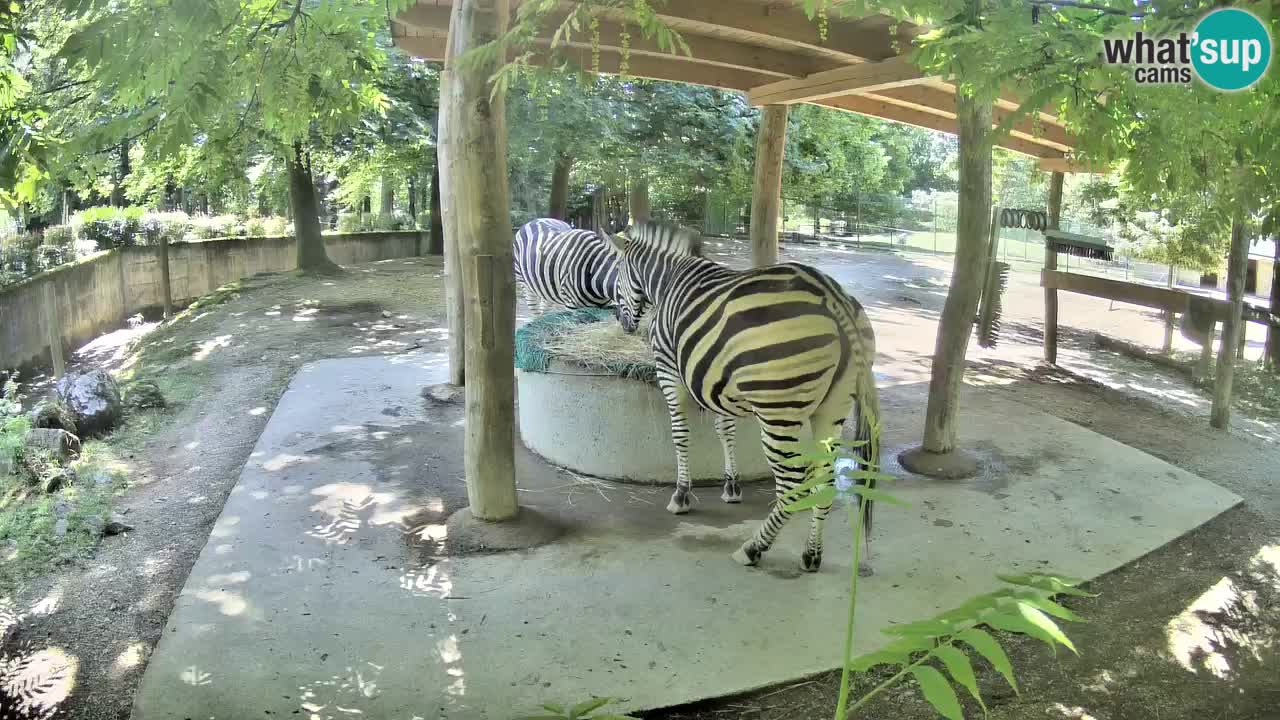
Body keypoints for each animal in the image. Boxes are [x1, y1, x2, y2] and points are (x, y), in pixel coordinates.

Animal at [607, 221, 881, 574]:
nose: (624, 324)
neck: (669, 278)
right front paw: (732, 486)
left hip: (779, 410)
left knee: (792, 484)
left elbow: (681, 436)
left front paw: (681, 495)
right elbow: (725, 431)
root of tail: (833, 297)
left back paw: (753, 549)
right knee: (825, 480)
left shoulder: (669, 370)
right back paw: (811, 555)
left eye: (617, 275)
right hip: (833, 408)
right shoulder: (718, 383)